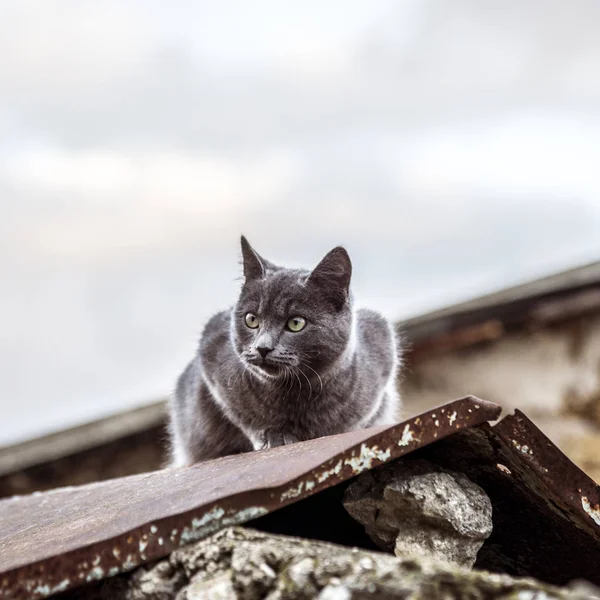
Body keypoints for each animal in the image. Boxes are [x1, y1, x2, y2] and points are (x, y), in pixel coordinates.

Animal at [168, 237, 404, 466]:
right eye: (251, 319)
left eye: (296, 323)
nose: (263, 347)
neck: (295, 393)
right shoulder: (212, 354)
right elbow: (243, 415)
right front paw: (274, 436)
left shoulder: (381, 343)